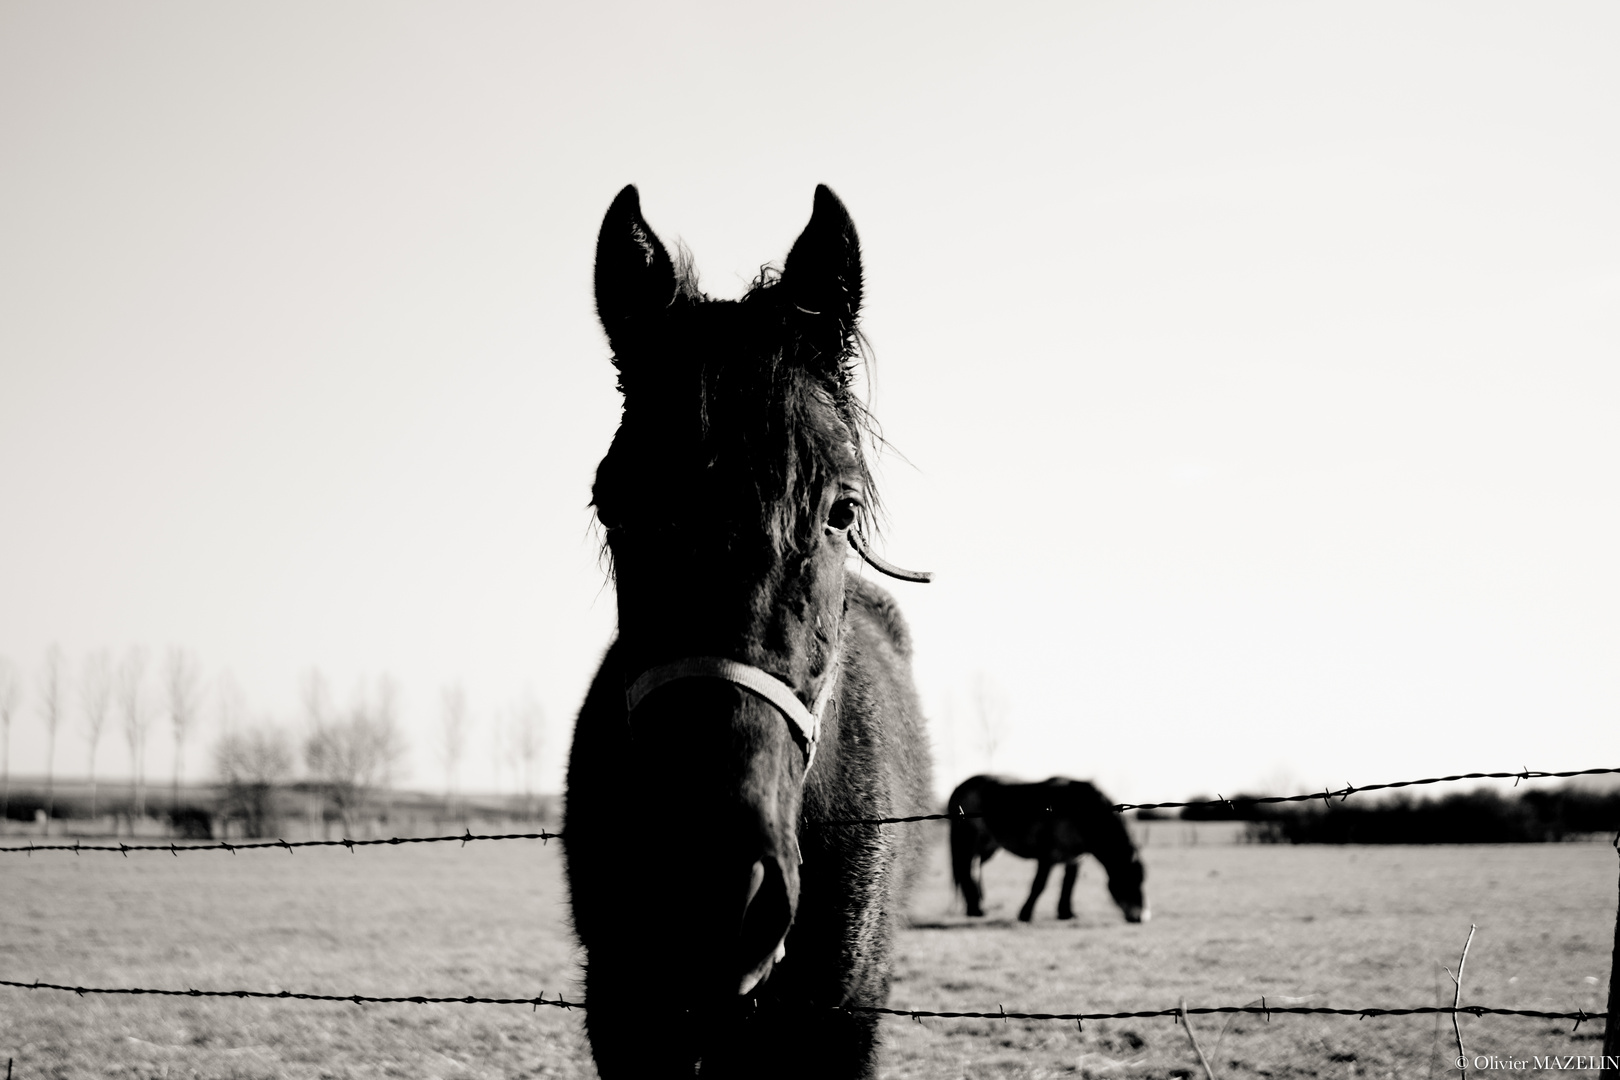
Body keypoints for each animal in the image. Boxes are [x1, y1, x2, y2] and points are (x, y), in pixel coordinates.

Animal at [946, 773, 1153, 926]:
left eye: (1141, 880)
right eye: (1128, 880)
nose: (1141, 917)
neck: (1077, 810)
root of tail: (959, 787)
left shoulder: (1074, 858)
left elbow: (1069, 884)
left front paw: (1066, 913)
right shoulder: (1047, 855)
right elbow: (1039, 885)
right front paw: (1025, 914)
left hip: (987, 845)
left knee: (973, 869)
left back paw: (976, 905)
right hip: (967, 839)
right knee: (965, 869)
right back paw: (975, 909)